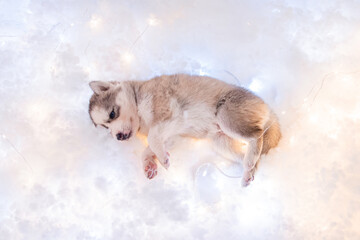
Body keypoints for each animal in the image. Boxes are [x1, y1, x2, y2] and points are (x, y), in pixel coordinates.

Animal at [88, 74, 282, 187]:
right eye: (106, 128)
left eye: (112, 114)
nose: (119, 137)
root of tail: (267, 108)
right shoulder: (174, 135)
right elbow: (148, 149)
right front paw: (150, 164)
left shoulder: (168, 111)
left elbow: (152, 138)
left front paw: (161, 160)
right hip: (221, 141)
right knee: (251, 157)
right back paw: (248, 172)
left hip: (226, 114)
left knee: (256, 136)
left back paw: (249, 161)